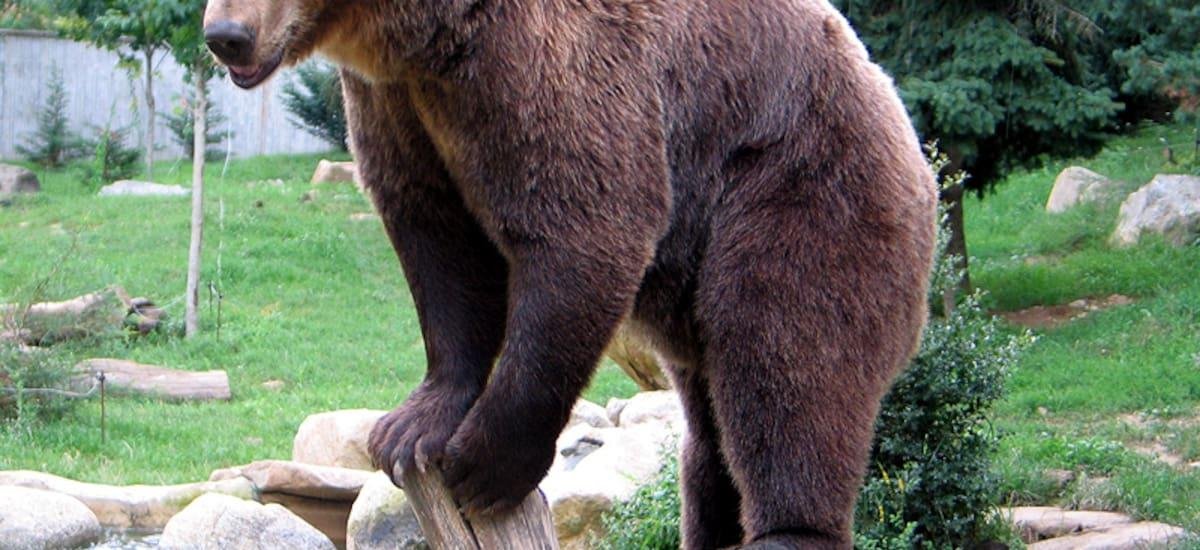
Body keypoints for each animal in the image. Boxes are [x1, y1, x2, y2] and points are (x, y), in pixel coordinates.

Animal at [203, 0, 938, 547]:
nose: (225, 36)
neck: (425, 39)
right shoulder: (401, 105)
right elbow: (437, 246)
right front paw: (410, 428)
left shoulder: (549, 68)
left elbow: (585, 226)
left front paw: (486, 463)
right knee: (709, 438)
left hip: (798, 188)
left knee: (785, 360)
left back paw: (786, 529)